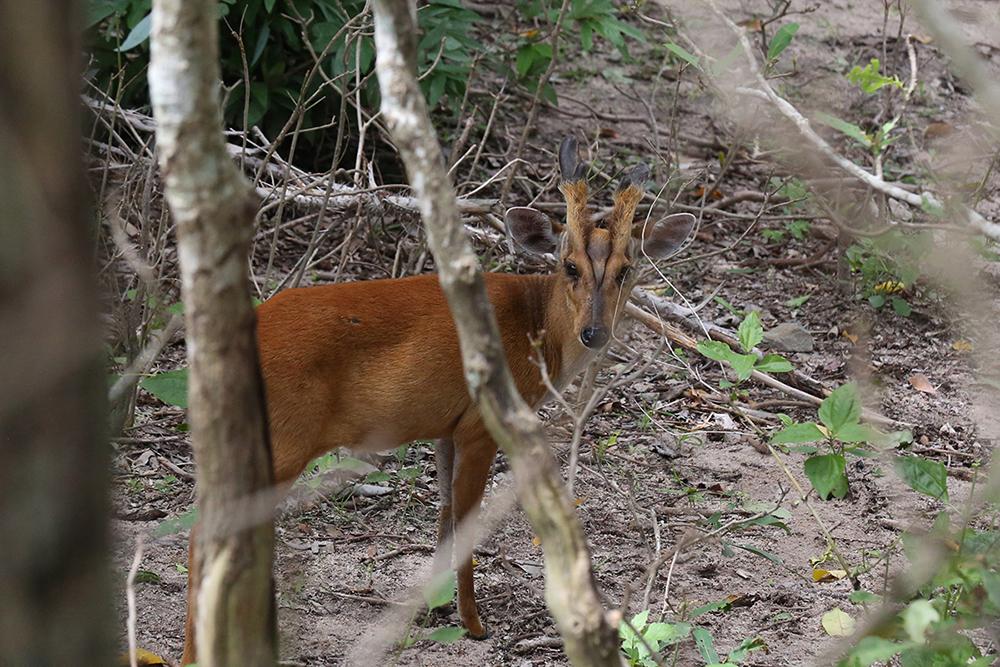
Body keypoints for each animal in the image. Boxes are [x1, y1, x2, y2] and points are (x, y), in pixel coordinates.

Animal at [182, 137, 696, 664]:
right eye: (569, 265)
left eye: (626, 270)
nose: (595, 333)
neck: (539, 332)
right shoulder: (480, 424)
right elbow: (466, 520)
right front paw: (474, 624)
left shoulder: (446, 428)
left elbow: (444, 515)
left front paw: (436, 607)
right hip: (285, 437)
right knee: (206, 532)